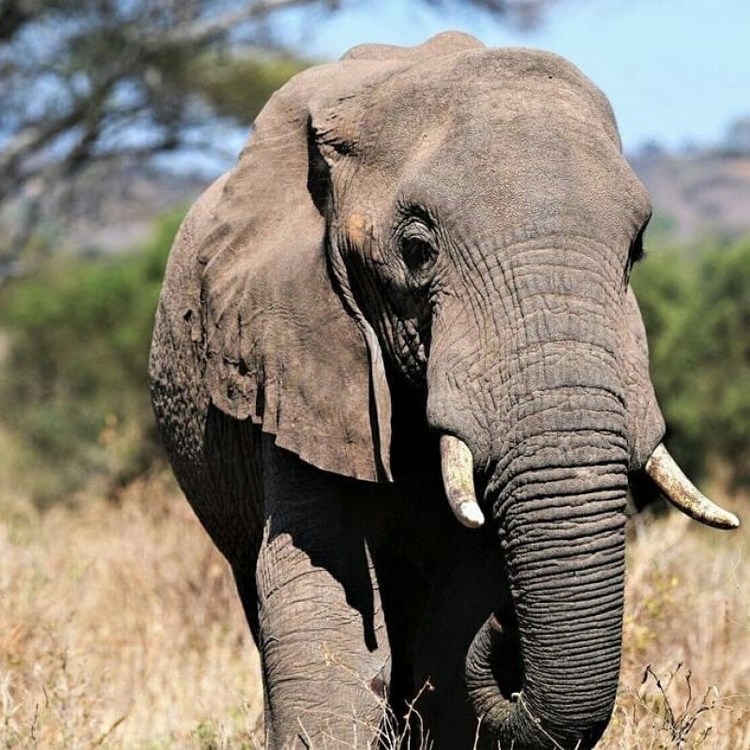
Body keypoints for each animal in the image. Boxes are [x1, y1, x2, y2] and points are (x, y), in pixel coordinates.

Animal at [148, 30, 740, 750]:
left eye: (636, 251)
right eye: (417, 249)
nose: (508, 631)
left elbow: (453, 630)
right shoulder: (295, 356)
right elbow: (322, 613)